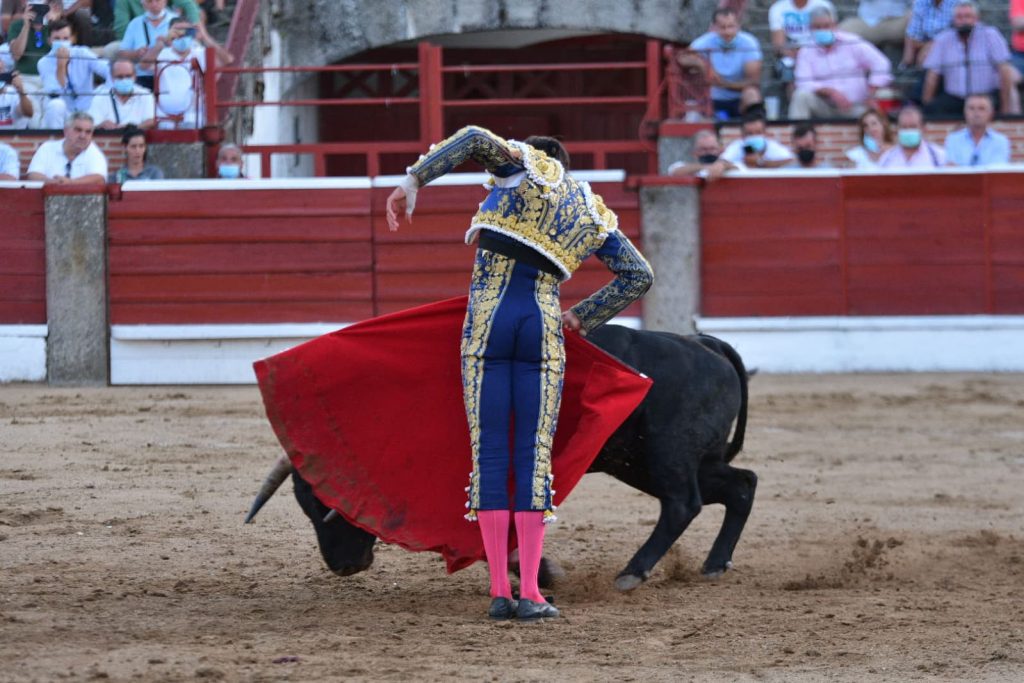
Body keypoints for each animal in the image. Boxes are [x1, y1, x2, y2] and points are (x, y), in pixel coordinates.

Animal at [268, 327, 757, 593]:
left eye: (328, 504)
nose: (343, 566)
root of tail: (704, 343)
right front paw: (543, 573)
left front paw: (543, 574)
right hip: (647, 461)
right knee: (741, 484)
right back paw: (714, 564)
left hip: (666, 455)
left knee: (683, 504)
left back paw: (632, 573)